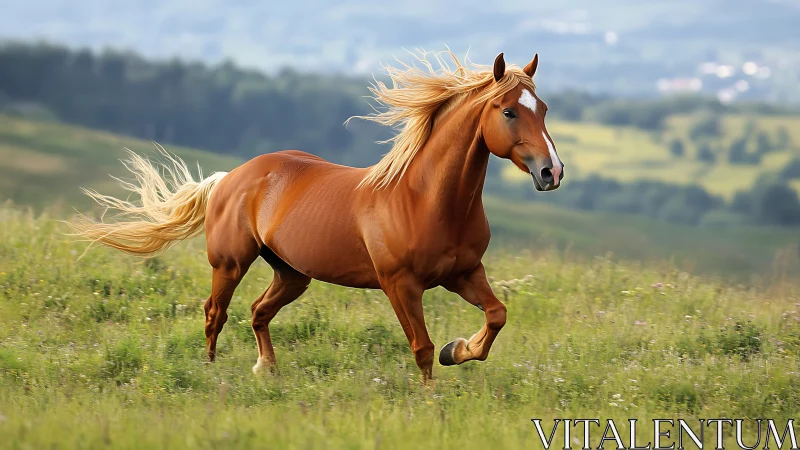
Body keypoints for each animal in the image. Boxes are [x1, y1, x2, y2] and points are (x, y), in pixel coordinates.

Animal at [67, 50, 564, 382]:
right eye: (508, 111)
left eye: (542, 109)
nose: (552, 172)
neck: (425, 199)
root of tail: (230, 177)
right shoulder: (400, 285)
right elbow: (421, 349)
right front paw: (430, 398)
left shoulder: (464, 273)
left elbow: (497, 315)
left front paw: (457, 349)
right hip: (229, 263)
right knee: (215, 312)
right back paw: (209, 370)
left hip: (292, 274)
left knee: (257, 311)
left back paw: (266, 368)